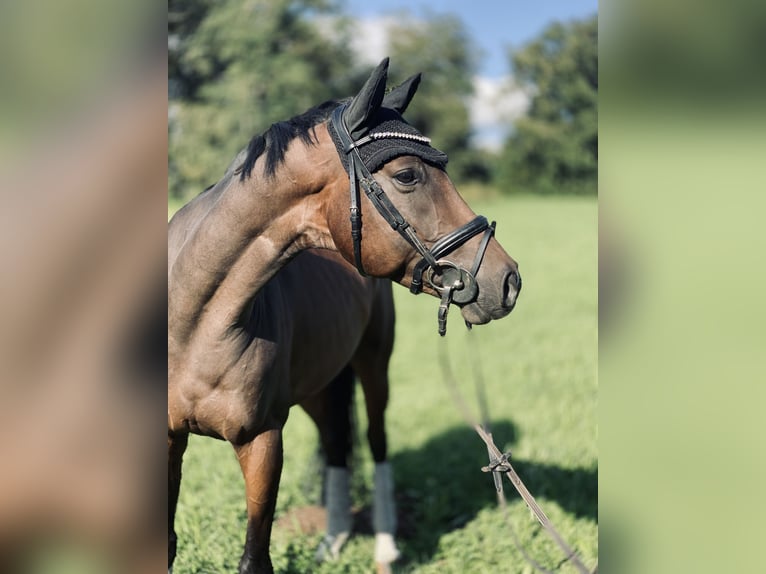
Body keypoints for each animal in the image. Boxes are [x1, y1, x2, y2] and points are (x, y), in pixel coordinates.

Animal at [169, 58, 524, 574]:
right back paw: (332, 540)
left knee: (375, 442)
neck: (194, 321)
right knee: (337, 443)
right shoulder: (169, 440)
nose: (508, 281)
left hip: (373, 366)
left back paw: (384, 548)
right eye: (407, 175)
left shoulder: (262, 440)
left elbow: (255, 557)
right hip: (320, 385)